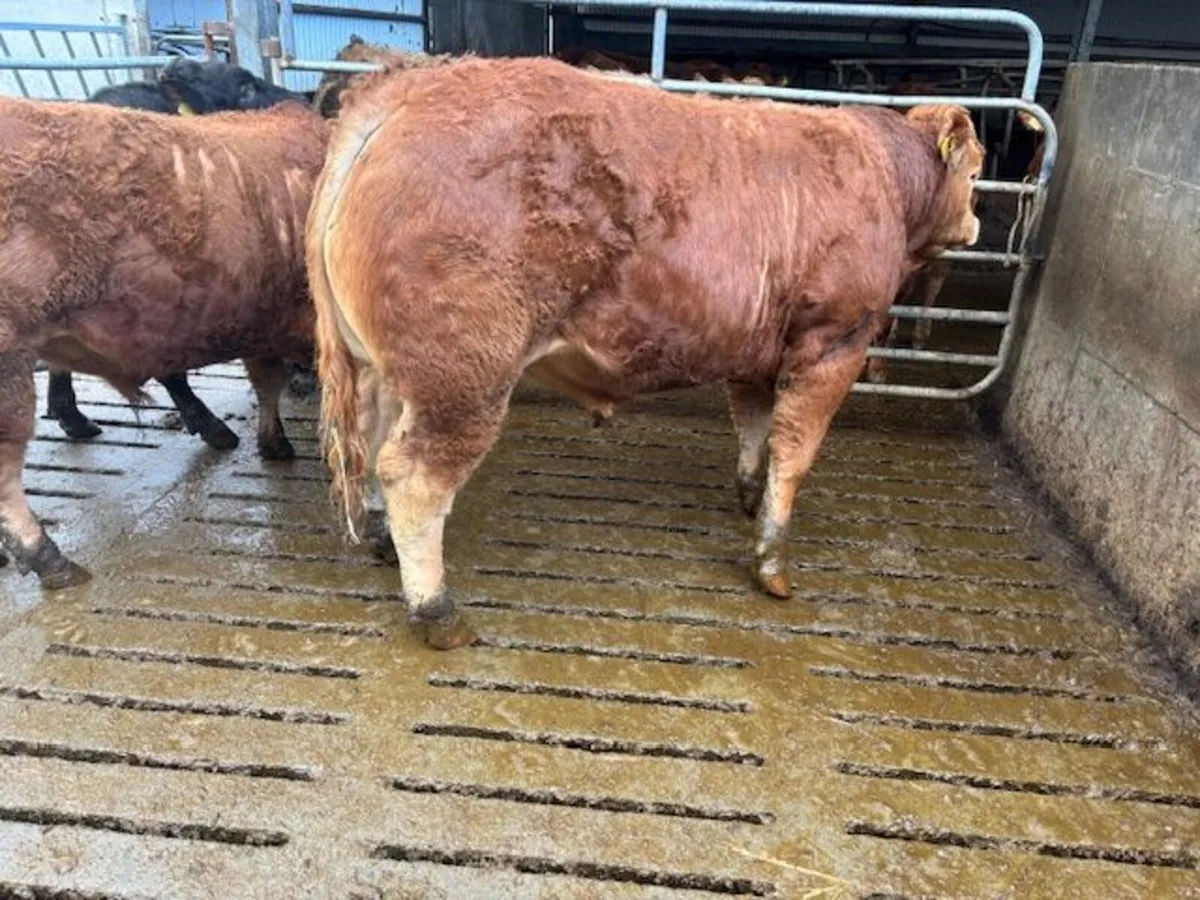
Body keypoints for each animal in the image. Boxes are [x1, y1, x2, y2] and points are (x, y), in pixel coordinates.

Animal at [305, 57, 984, 649]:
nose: (976, 225)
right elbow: (794, 454)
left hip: (384, 371)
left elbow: (754, 425)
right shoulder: (835, 343)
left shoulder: (758, 351)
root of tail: (407, 91)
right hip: (464, 374)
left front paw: (748, 493)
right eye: (976, 172)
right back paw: (437, 612)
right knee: (413, 476)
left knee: (372, 445)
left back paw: (382, 542)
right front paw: (771, 561)